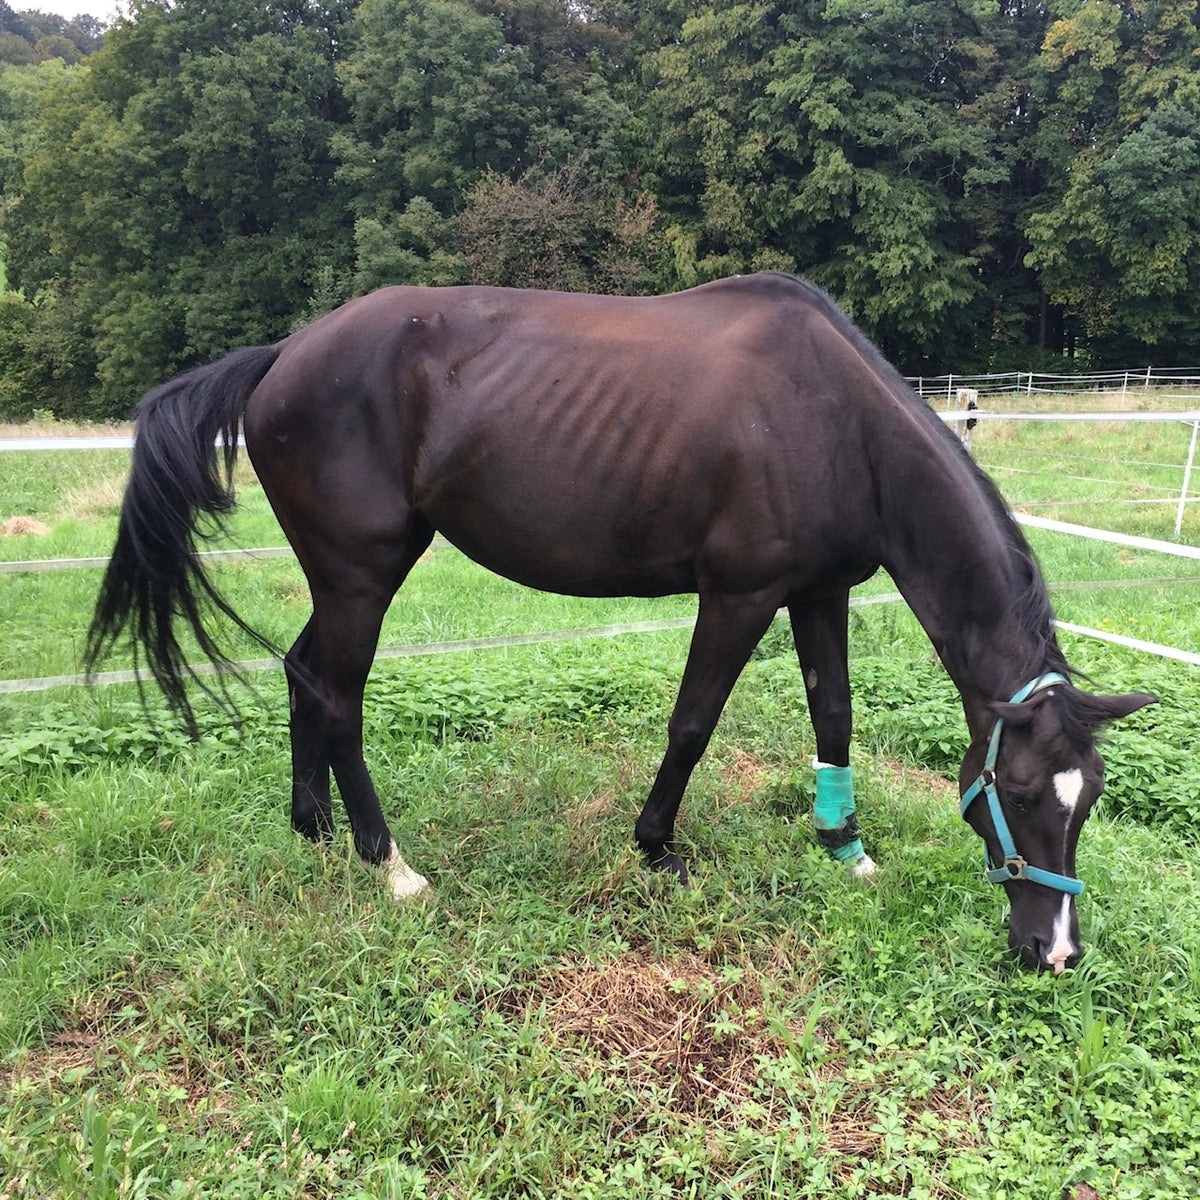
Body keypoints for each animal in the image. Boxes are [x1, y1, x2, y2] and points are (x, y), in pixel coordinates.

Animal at [85, 273, 1156, 973]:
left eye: (1090, 800)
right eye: (1020, 792)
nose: (1055, 952)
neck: (838, 423)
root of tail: (284, 355)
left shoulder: (819, 593)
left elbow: (836, 716)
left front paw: (844, 845)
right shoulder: (740, 596)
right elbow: (693, 723)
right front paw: (656, 846)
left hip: (346, 577)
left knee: (305, 676)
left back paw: (311, 828)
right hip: (361, 574)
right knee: (339, 698)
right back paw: (389, 866)